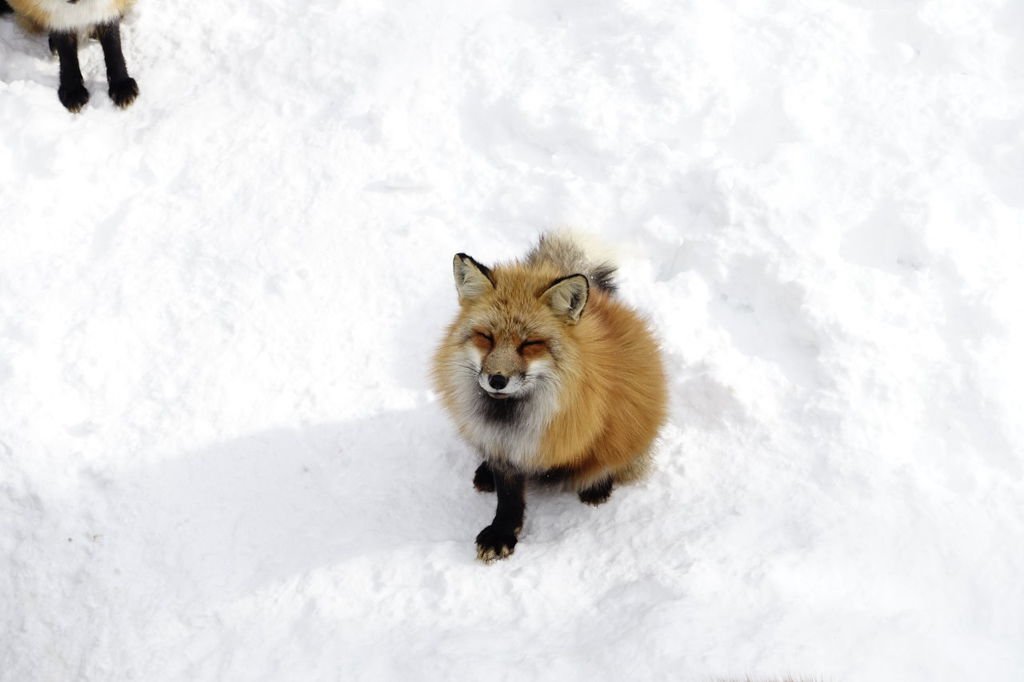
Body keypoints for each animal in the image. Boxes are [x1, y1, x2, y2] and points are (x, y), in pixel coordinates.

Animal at [434, 231, 667, 561]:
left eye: (529, 344)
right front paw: (502, 532)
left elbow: (606, 455)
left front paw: (597, 484)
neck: (515, 418)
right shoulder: (502, 444)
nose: (497, 380)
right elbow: (508, 496)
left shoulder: (612, 415)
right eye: (486, 337)